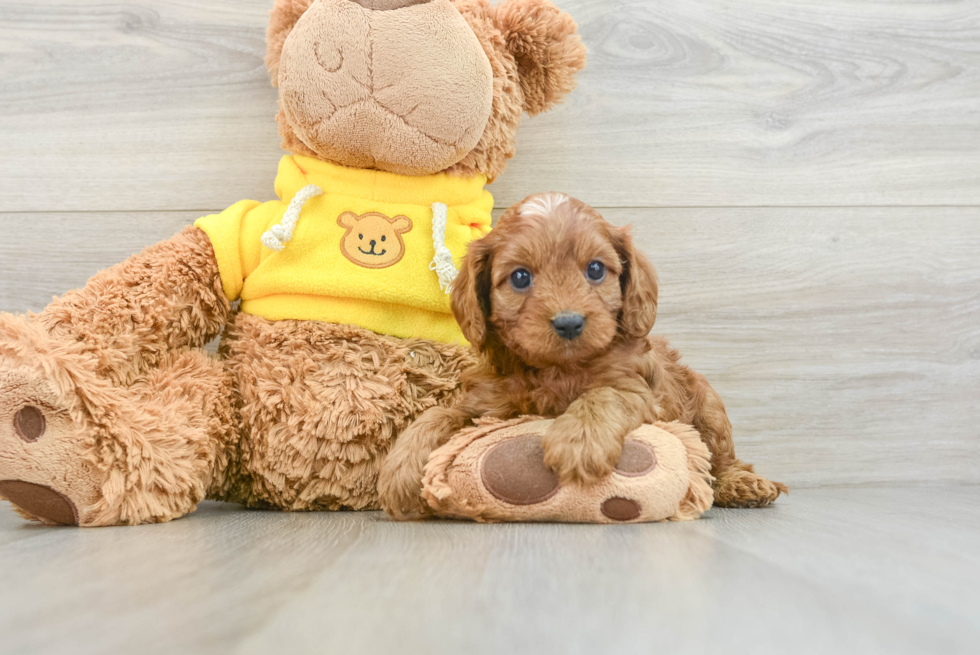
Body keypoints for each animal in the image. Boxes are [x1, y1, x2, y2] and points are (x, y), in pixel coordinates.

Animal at [378, 192, 784, 520]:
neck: (557, 370)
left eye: (595, 269)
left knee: (722, 458)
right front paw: (400, 469)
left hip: (709, 405)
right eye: (520, 277)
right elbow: (439, 414)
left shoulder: (640, 391)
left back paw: (743, 485)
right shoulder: (486, 403)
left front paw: (580, 441)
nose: (569, 322)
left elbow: (603, 394)